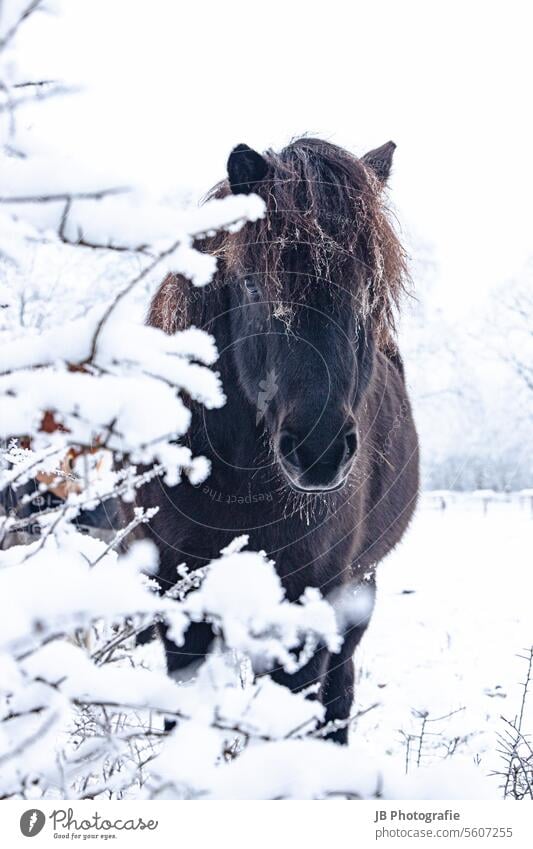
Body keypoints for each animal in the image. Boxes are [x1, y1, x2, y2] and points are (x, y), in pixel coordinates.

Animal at [140, 137, 420, 744]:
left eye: (368, 291)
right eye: (252, 283)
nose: (319, 452)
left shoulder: (306, 604)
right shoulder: (181, 598)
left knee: (338, 692)